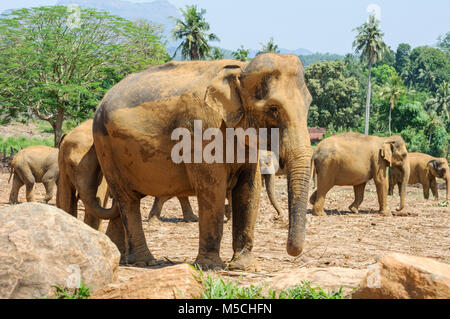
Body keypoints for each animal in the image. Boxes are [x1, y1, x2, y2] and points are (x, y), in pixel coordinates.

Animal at [82, 53, 312, 272]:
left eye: (309, 104)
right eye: (273, 108)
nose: (292, 251)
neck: (240, 70)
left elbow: (249, 189)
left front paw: (244, 267)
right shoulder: (201, 127)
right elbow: (213, 188)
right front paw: (211, 267)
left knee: (124, 203)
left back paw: (121, 257)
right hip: (105, 148)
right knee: (127, 199)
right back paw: (144, 261)